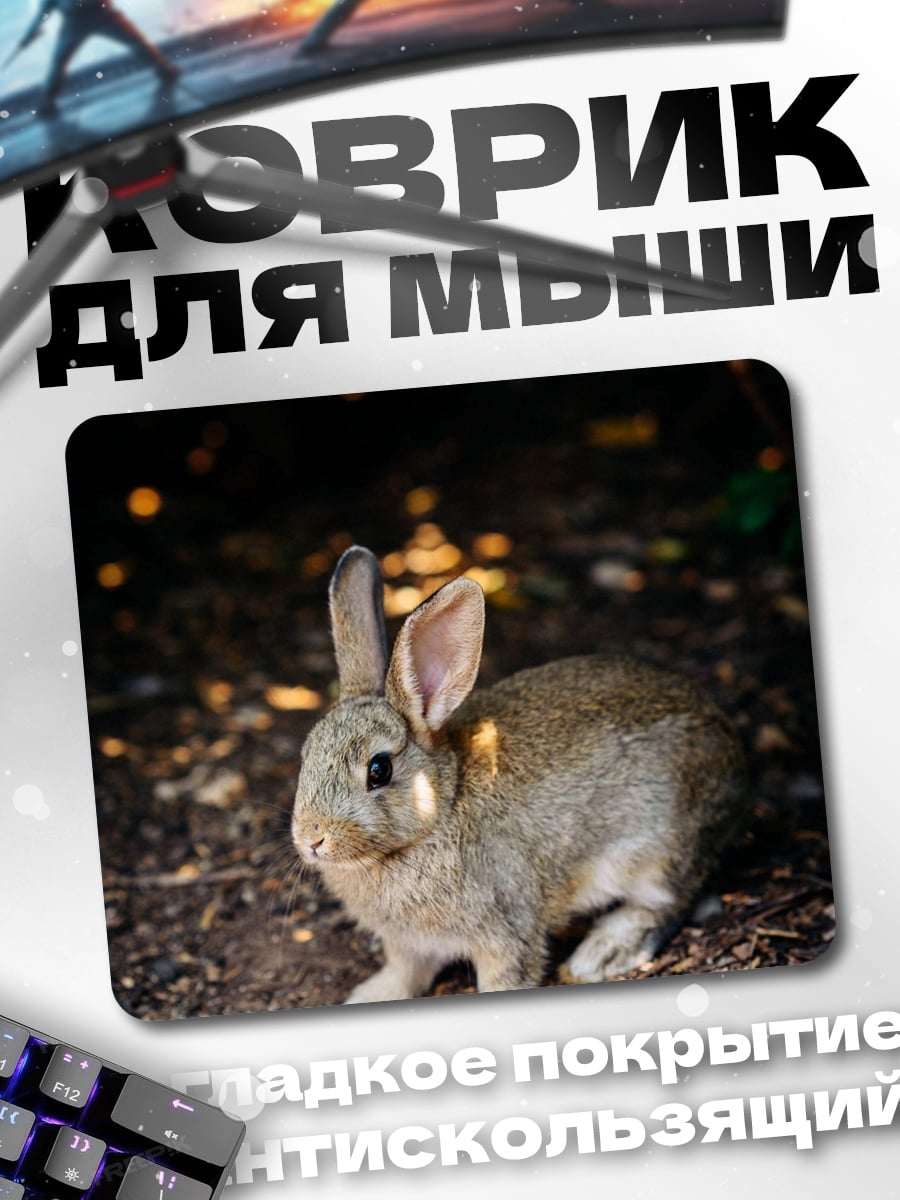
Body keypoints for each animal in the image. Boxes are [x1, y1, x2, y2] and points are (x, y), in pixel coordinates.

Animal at [291, 545, 744, 1004]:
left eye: (378, 770)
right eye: (306, 754)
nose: (311, 839)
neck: (440, 808)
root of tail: (731, 747)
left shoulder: (505, 930)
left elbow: (506, 974)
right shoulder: (408, 945)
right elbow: (405, 973)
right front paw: (370, 996)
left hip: (658, 852)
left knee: (668, 901)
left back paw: (601, 953)